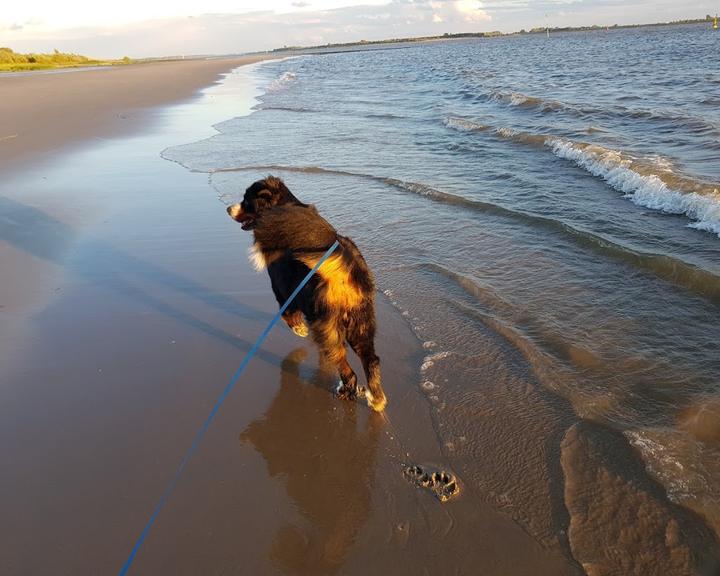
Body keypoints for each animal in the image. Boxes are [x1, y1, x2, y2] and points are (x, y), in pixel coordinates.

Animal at [228, 178, 388, 412]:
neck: (283, 205)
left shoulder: (283, 286)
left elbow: (287, 312)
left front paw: (299, 329)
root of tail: (345, 269)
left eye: (246, 201)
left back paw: (345, 390)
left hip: (326, 323)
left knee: (345, 365)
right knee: (371, 359)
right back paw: (376, 398)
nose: (228, 209)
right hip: (361, 321)